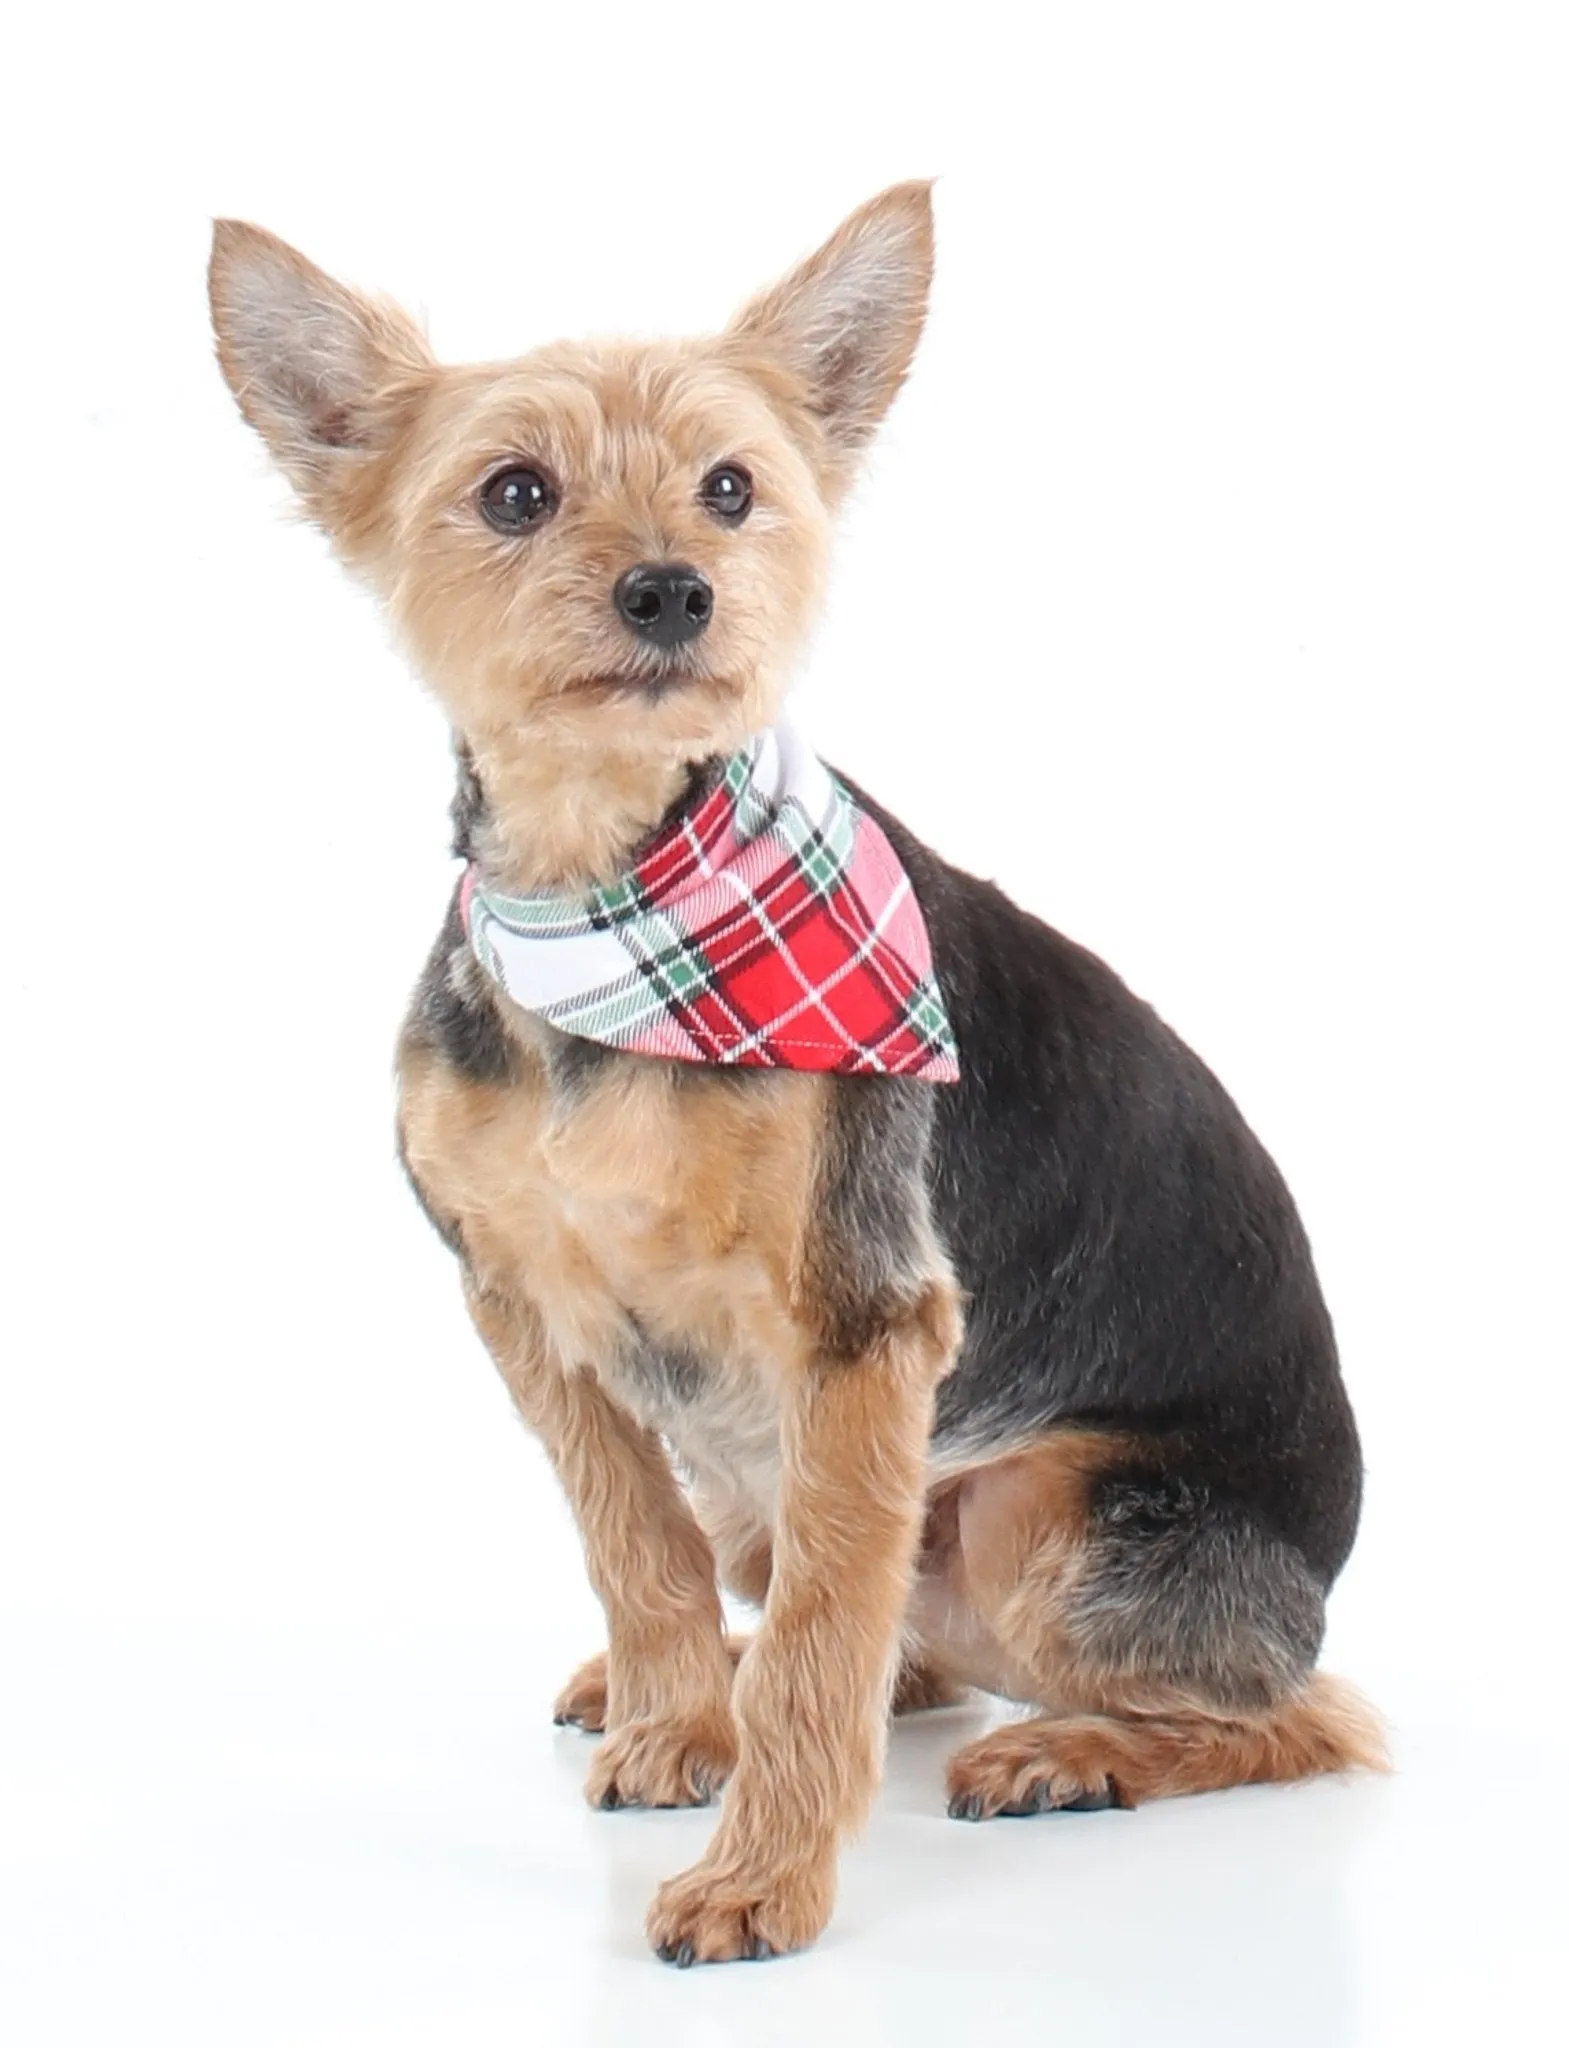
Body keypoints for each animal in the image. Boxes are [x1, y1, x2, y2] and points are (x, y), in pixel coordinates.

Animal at [208, 188, 1392, 1966]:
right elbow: (633, 1543)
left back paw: (1071, 1752)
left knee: (1297, 1711)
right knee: (889, 1633)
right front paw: (674, 1722)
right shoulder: (522, 1306)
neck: (618, 901)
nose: (671, 592)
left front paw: (760, 1876)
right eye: (514, 491)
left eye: (730, 486)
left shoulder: (860, 1328)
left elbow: (829, 1637)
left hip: (1054, 1517)